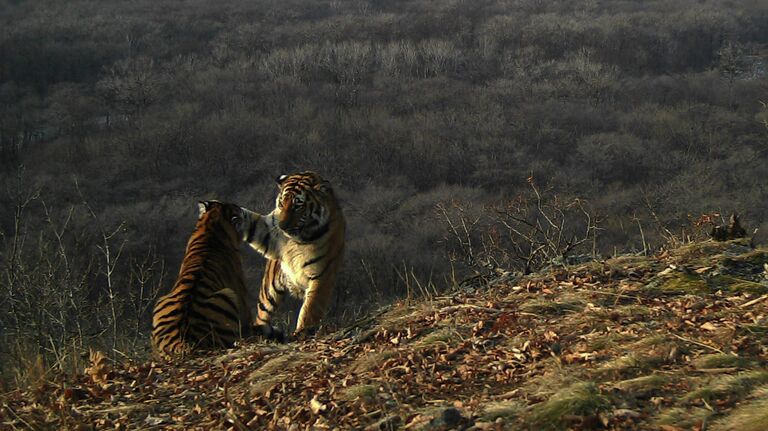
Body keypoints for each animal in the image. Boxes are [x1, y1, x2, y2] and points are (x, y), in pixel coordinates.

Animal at [152, 201, 256, 360]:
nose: (245, 212)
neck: (210, 225)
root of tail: (181, 341)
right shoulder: (240, 290)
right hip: (227, 294)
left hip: (161, 300)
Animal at [246, 172, 344, 340]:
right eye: (281, 203)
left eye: (298, 205)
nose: (282, 226)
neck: (300, 239)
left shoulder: (322, 277)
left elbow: (310, 309)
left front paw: (302, 331)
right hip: (270, 290)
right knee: (262, 314)